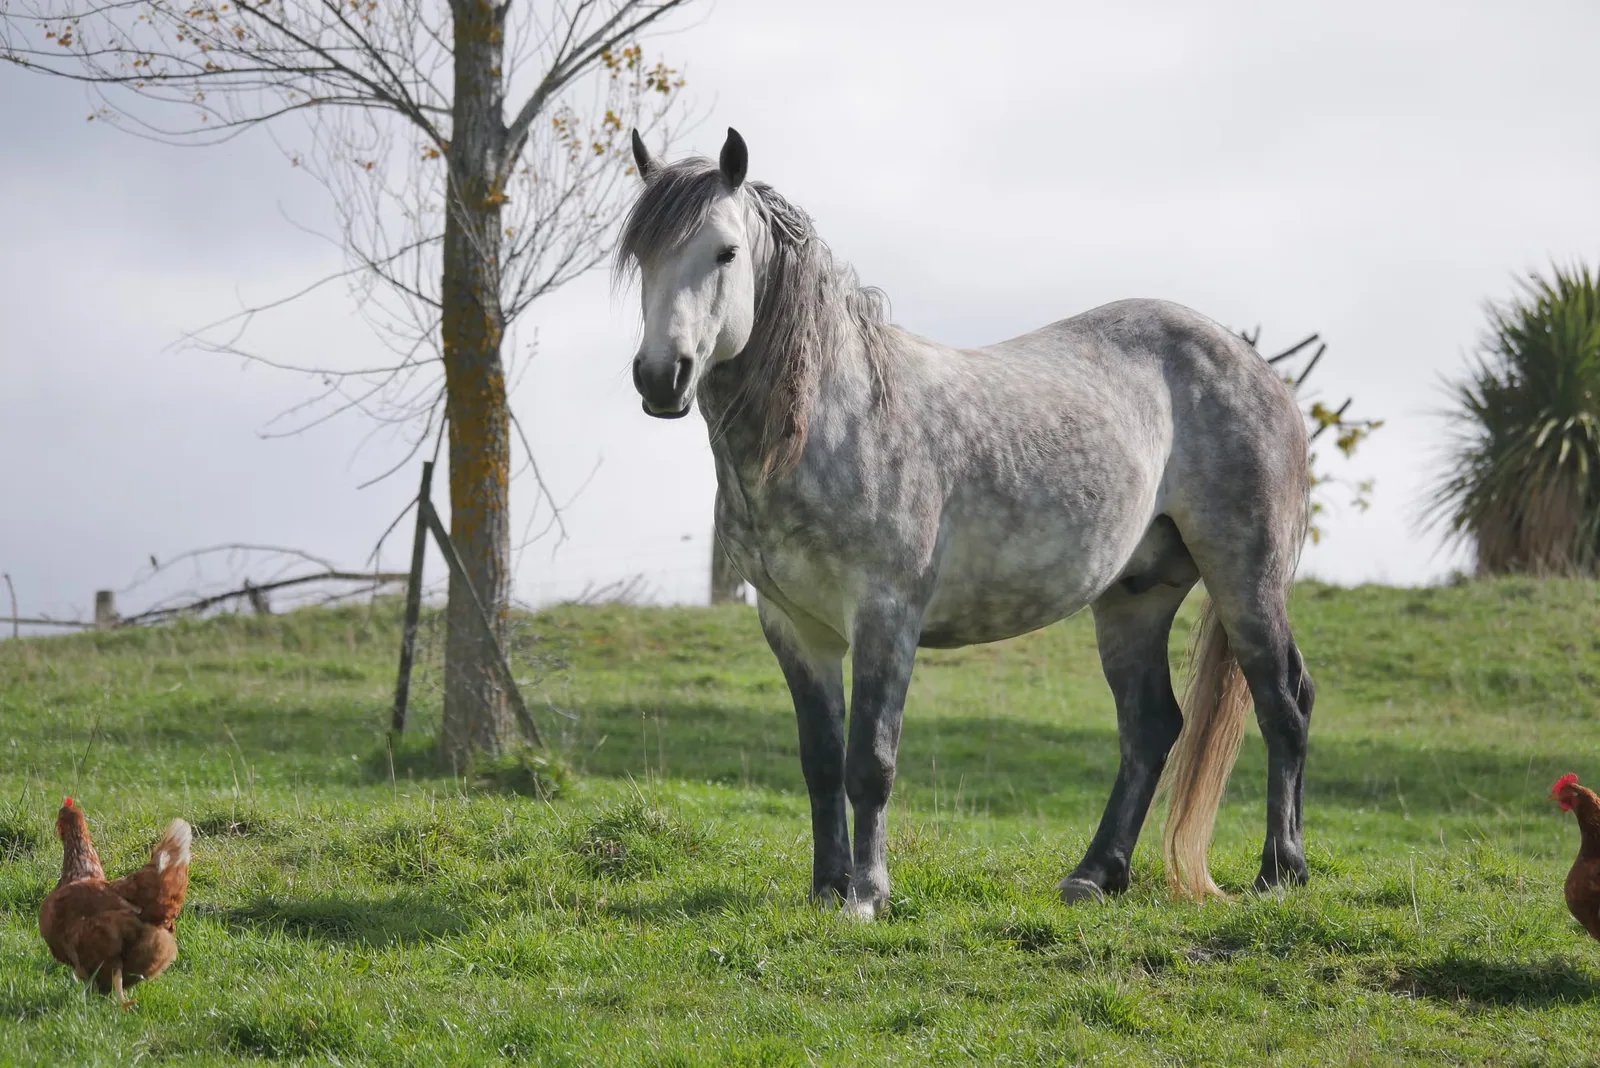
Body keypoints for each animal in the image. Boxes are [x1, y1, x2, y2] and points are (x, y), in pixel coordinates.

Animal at [617, 127, 1315, 918]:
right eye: (642, 256)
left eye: (726, 253)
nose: (661, 377)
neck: (835, 418)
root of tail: (1260, 371)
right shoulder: (795, 627)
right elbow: (821, 761)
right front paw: (826, 889)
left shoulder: (887, 616)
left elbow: (870, 762)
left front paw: (867, 896)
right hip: (1135, 597)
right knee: (1151, 727)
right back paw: (1094, 874)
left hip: (1245, 576)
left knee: (1282, 702)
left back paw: (1279, 871)